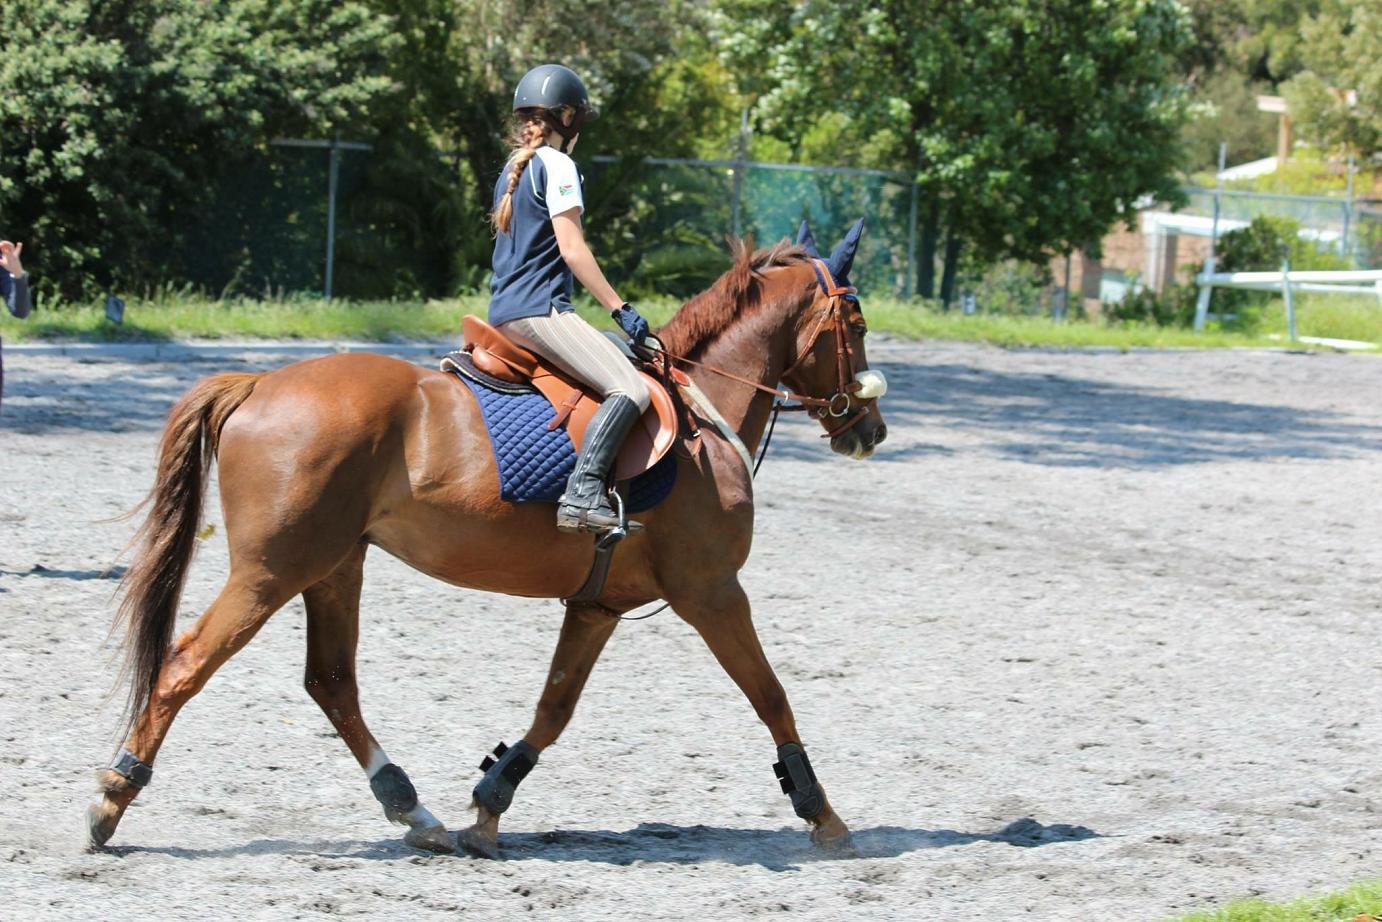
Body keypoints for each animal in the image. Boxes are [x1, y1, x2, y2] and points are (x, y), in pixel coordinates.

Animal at [89, 221, 884, 857]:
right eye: (857, 323)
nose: (869, 431)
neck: (700, 418)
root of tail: (258, 383)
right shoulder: (712, 592)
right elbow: (771, 695)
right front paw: (824, 817)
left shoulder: (598, 605)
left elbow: (553, 710)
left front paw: (489, 807)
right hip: (272, 571)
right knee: (186, 664)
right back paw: (110, 800)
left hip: (334, 564)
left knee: (331, 682)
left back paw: (415, 812)